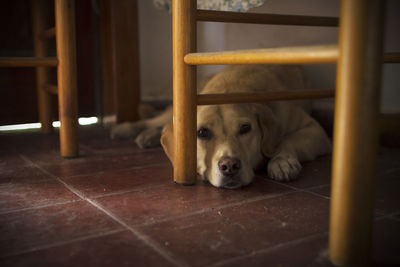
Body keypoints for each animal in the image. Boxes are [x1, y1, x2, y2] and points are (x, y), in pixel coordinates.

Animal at [111, 65, 332, 191]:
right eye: (202, 133)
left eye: (245, 128)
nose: (229, 166)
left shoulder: (314, 129)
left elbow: (286, 140)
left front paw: (282, 161)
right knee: (157, 121)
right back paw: (126, 129)